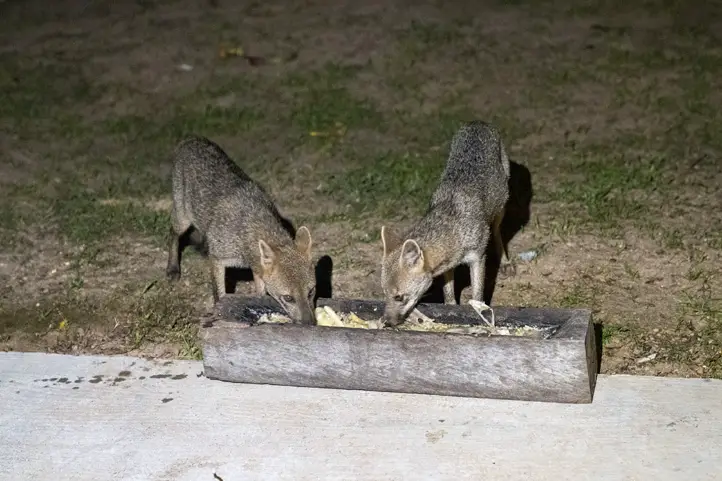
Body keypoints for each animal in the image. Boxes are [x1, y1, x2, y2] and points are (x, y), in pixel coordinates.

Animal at [169, 133, 318, 324]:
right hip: (183, 220)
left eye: (311, 291)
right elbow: (220, 294)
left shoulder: (257, 269)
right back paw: (172, 269)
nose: (310, 323)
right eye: (288, 298)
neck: (248, 226)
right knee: (172, 234)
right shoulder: (218, 259)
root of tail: (192, 139)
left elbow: (260, 292)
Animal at [376, 120, 512, 326]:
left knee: (497, 232)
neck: (452, 223)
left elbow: (478, 293)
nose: (387, 322)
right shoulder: (449, 264)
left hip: (500, 210)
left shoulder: (477, 257)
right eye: (384, 294)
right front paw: (450, 308)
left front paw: (479, 309)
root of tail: (477, 122)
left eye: (399, 297)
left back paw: (505, 261)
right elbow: (448, 293)